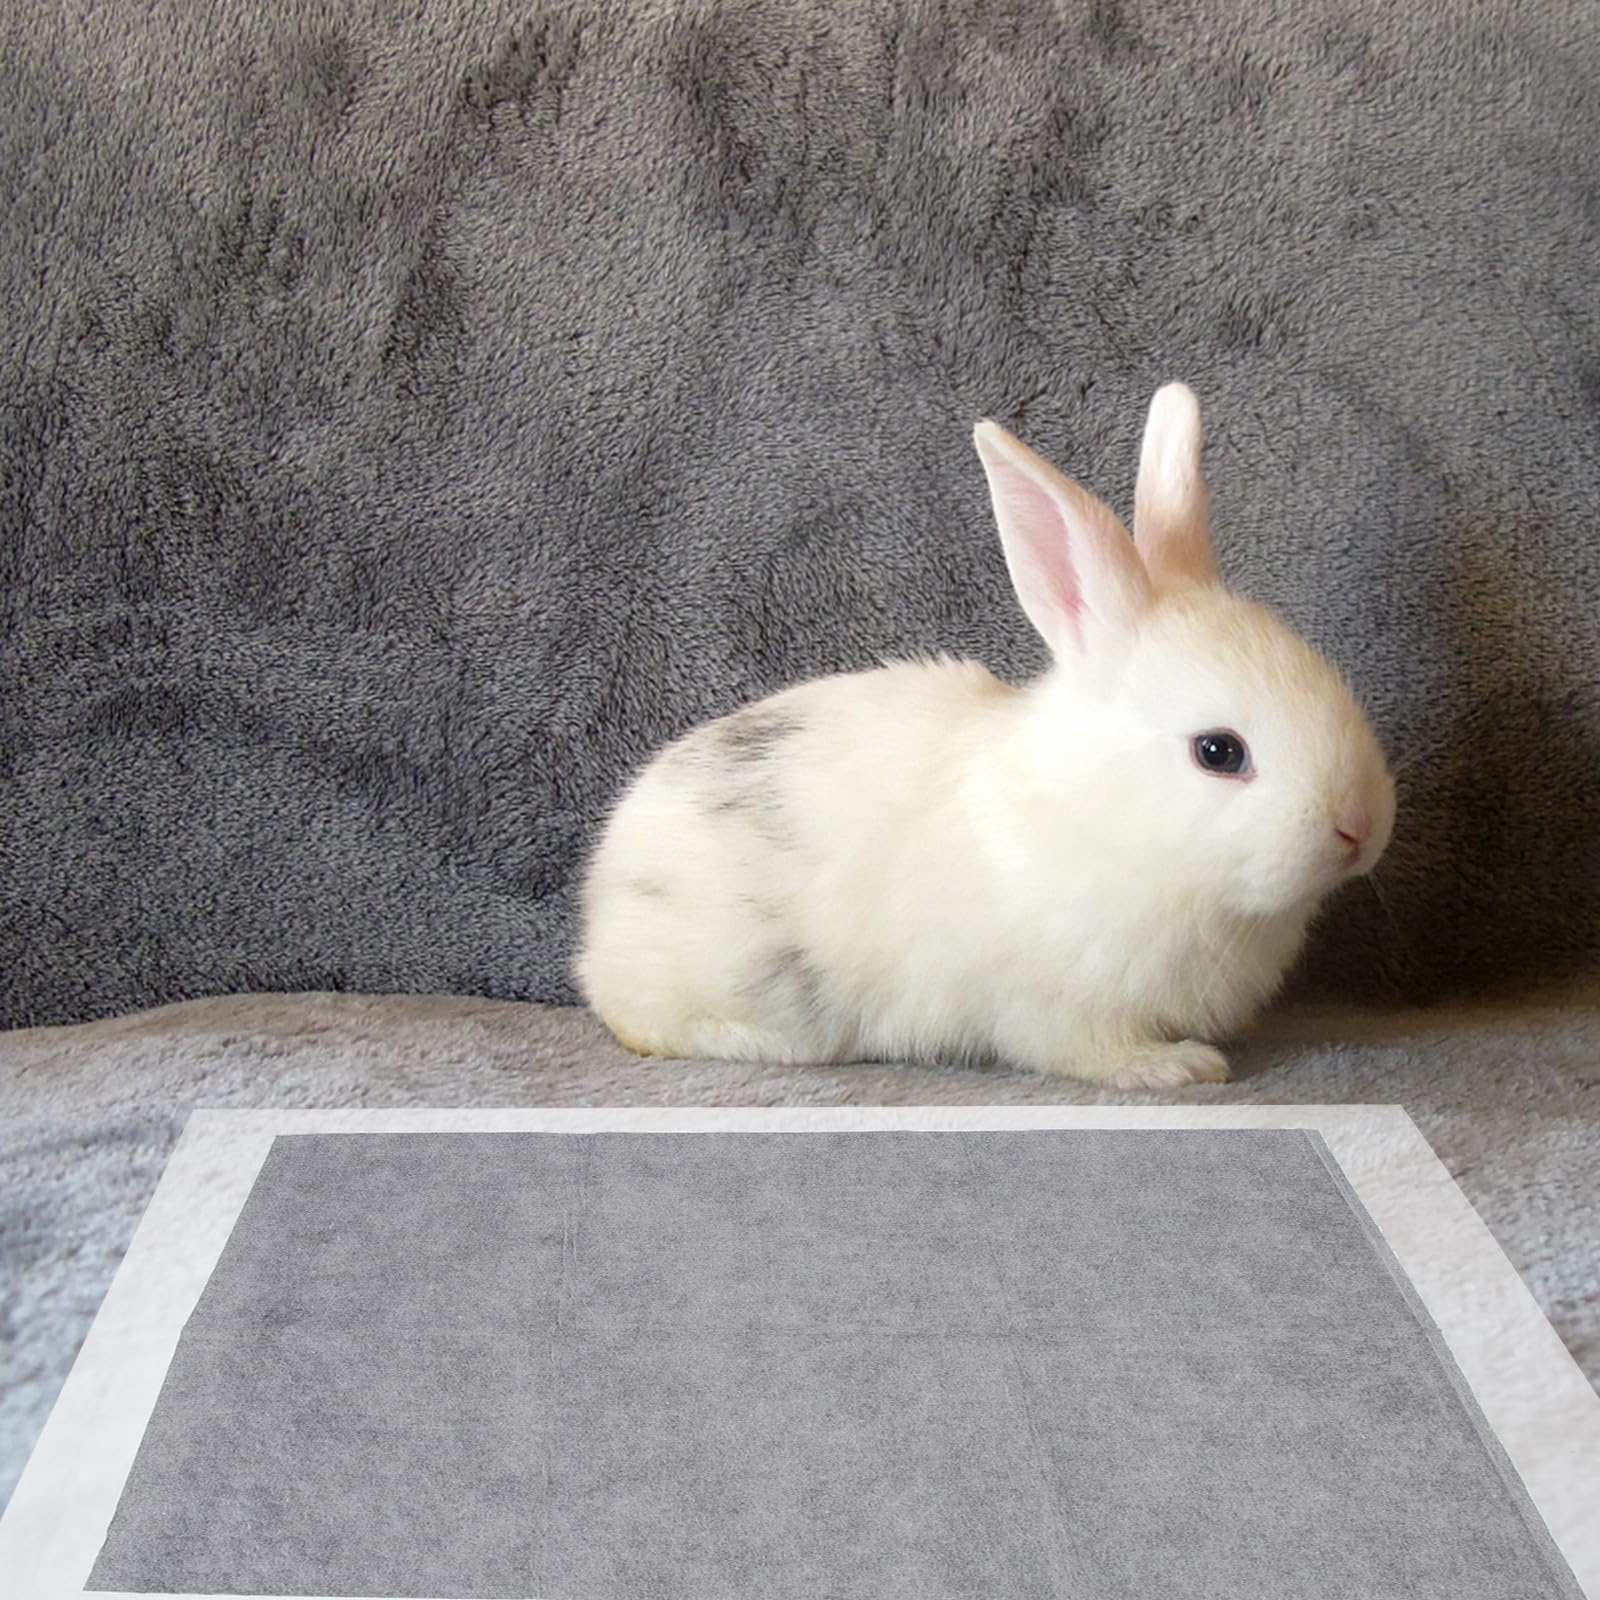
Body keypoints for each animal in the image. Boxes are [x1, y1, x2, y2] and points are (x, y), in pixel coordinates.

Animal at [575, 384, 1395, 1089]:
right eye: (1219, 752)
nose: (1361, 828)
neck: (1101, 814)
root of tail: (600, 912)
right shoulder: (1057, 1005)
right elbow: (1087, 1050)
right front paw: (1178, 1066)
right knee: (637, 1021)